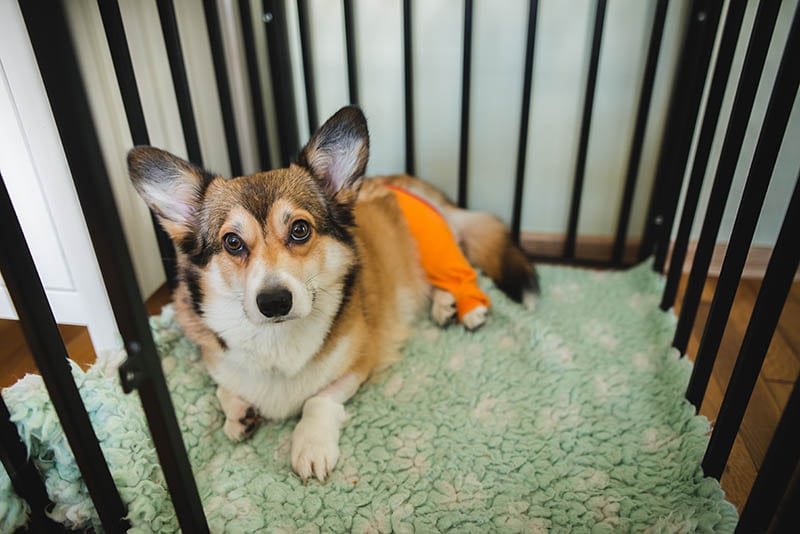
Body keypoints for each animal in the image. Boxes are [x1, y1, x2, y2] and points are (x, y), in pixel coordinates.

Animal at [128, 107, 536, 484]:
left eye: (300, 229)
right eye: (232, 242)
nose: (274, 302)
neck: (277, 342)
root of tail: (408, 181)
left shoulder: (359, 362)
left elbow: (317, 399)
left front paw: (310, 447)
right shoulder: (218, 361)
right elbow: (223, 389)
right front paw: (239, 414)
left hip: (436, 249)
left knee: (459, 273)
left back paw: (466, 308)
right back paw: (443, 306)